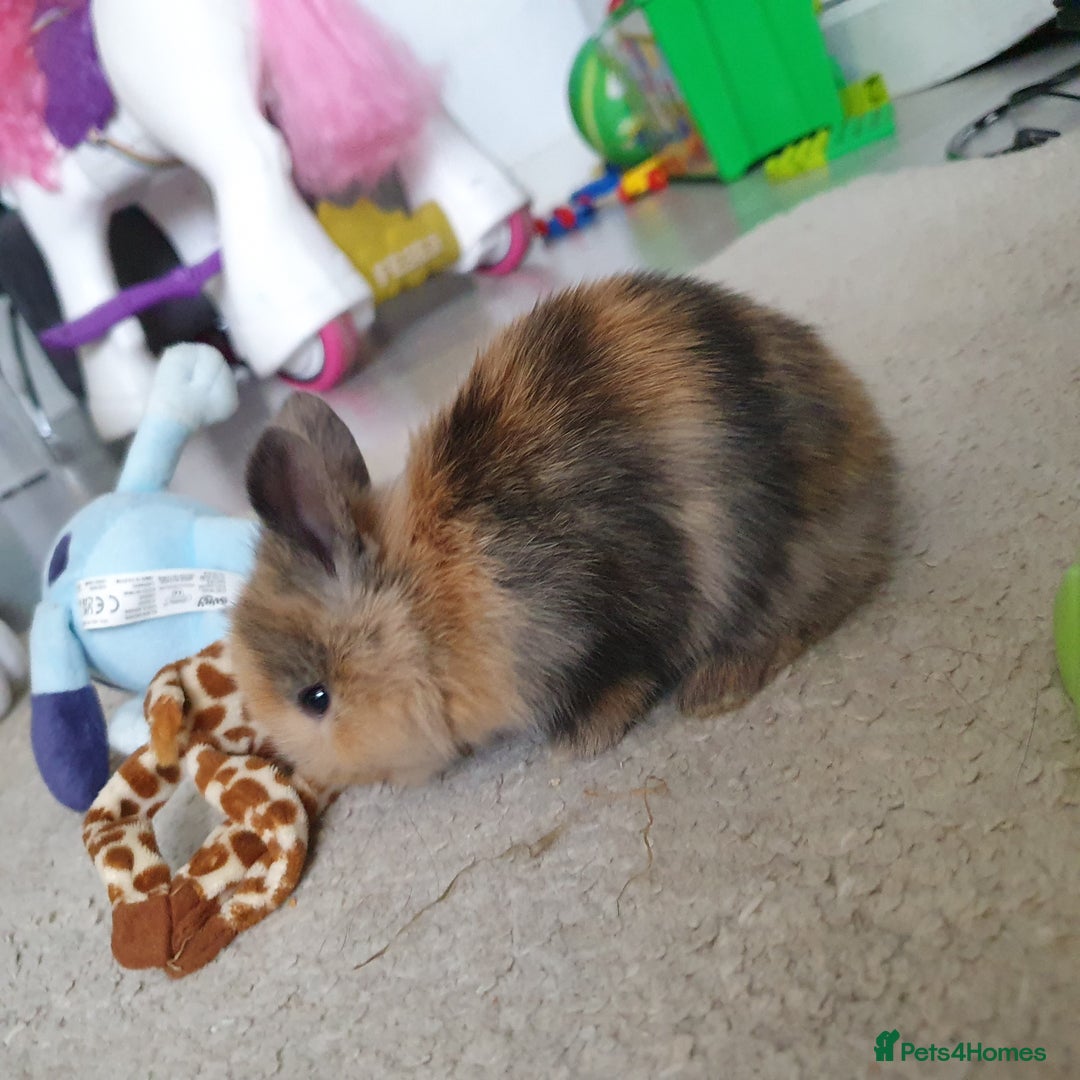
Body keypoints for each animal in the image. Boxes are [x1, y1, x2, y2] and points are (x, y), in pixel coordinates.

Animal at [231, 272, 897, 791]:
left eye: (316, 698)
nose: (321, 778)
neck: (427, 604)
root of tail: (876, 463)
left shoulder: (582, 619)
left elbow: (619, 671)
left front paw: (579, 740)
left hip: (774, 557)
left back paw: (715, 689)